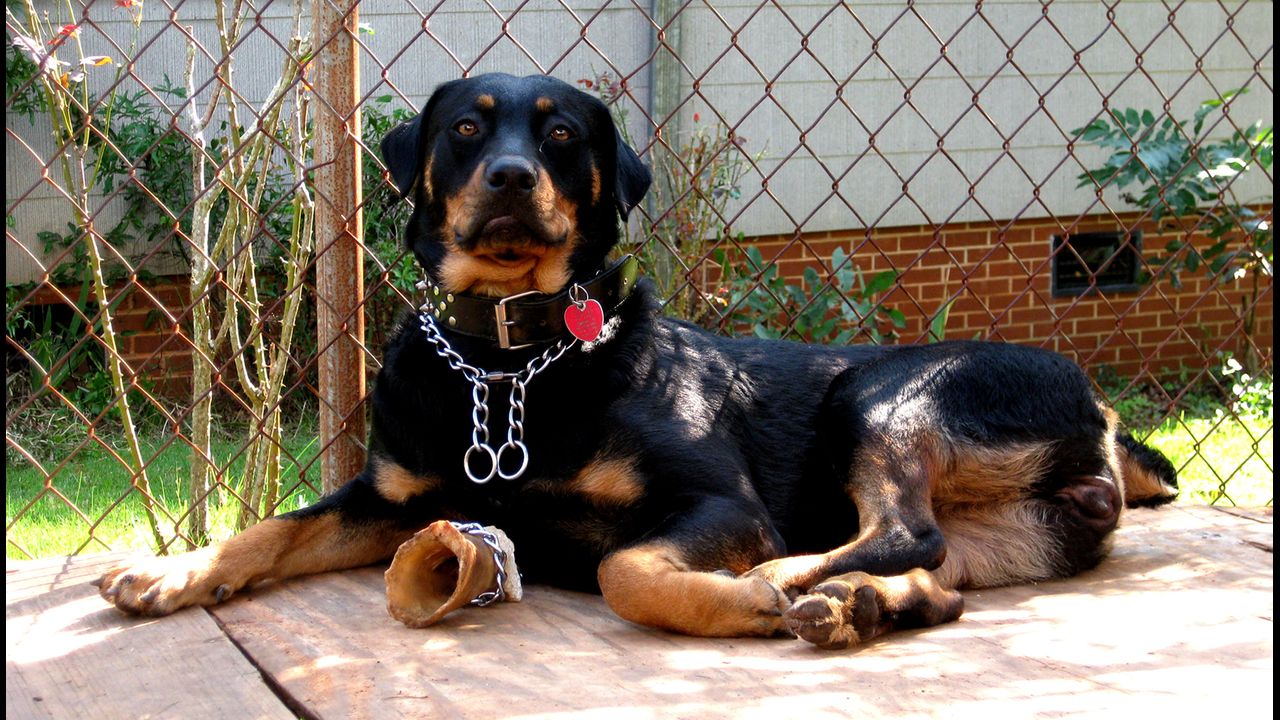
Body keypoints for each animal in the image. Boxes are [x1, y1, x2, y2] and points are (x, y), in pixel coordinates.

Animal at [95, 73, 1179, 649]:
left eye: (563, 134)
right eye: (464, 126)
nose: (509, 175)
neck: (505, 362)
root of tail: (1104, 421)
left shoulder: (713, 502)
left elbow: (623, 568)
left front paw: (741, 595)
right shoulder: (389, 499)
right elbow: (272, 530)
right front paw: (174, 569)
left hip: (884, 394)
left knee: (902, 530)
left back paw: (798, 582)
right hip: (1003, 533)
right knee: (937, 572)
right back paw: (858, 604)